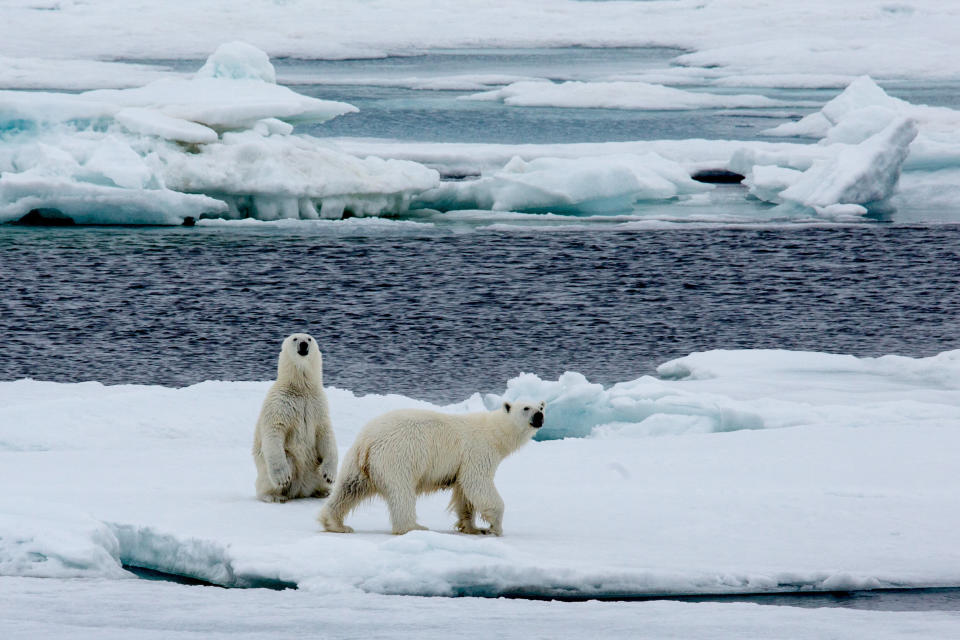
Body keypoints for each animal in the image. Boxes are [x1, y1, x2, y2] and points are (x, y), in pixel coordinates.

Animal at [251, 332, 338, 502]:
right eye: (295, 339)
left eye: (309, 339)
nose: (304, 345)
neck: (300, 388)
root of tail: (300, 490)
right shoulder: (280, 403)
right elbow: (274, 430)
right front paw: (282, 477)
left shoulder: (318, 404)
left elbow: (325, 432)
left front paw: (329, 475)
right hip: (281, 467)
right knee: (286, 462)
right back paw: (274, 495)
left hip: (313, 465)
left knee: (317, 470)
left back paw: (323, 491)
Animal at [316, 400, 540, 536]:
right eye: (526, 408)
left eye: (541, 406)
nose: (540, 416)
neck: (494, 432)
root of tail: (367, 440)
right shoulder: (477, 451)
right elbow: (476, 483)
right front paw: (495, 527)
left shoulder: (462, 463)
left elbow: (464, 494)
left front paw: (473, 528)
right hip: (397, 456)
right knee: (401, 493)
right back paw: (414, 527)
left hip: (358, 462)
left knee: (350, 488)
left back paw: (336, 523)